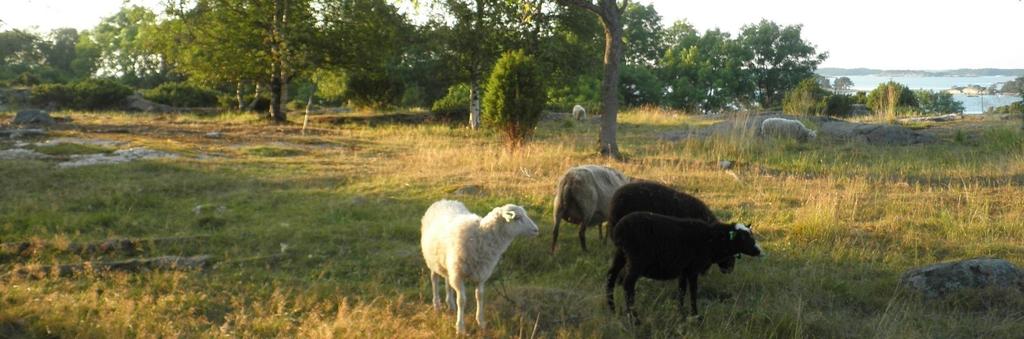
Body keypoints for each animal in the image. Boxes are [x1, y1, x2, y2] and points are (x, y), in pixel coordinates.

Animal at [419, 199, 540, 333]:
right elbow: (462, 300)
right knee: (434, 279)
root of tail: (443, 200)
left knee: (447, 280)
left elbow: (480, 296)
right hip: (432, 260)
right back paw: (437, 305)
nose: (536, 230)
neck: (481, 235)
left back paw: (450, 304)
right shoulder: (459, 275)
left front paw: (481, 322)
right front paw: (460, 327)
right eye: (517, 218)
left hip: (448, 263)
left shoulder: (481, 273)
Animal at [602, 213, 765, 321]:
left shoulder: (683, 270)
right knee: (628, 285)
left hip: (621, 254)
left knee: (610, 277)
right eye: (744, 238)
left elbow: (681, 291)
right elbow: (693, 292)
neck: (712, 240)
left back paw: (612, 310)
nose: (760, 252)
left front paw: (681, 313)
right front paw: (696, 315)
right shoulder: (693, 269)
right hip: (636, 260)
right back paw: (634, 318)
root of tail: (619, 230)